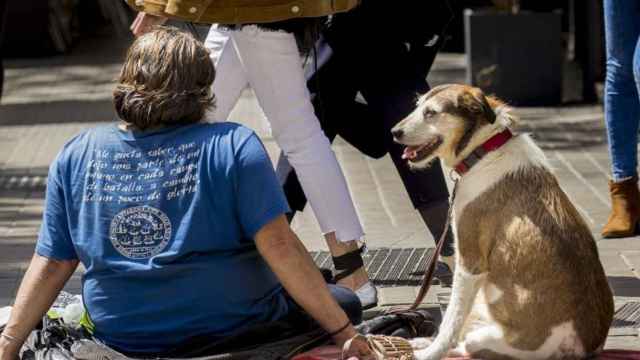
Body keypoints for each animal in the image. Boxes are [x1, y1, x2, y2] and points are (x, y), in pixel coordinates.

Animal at [392, 85, 612, 360]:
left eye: (430, 113)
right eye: (417, 106)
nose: (394, 132)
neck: (484, 150)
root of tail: (584, 346)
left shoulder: (469, 263)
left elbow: (451, 320)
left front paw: (432, 353)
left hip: (483, 338)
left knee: (465, 341)